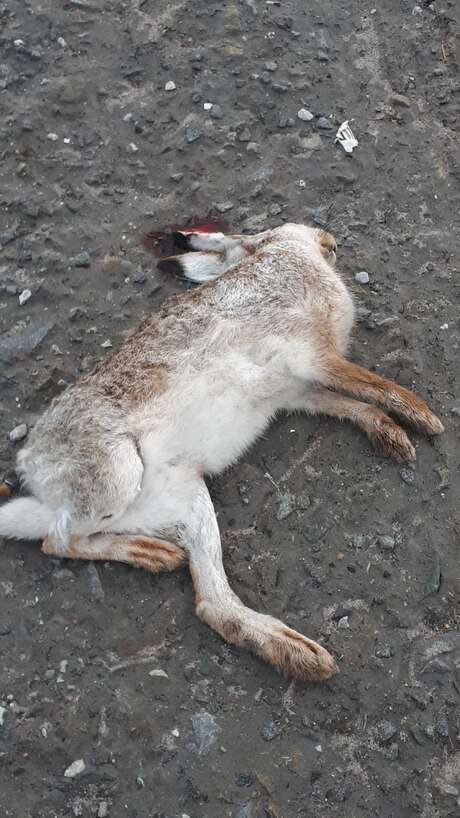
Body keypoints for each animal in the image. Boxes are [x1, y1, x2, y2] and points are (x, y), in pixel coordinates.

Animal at [0, 222, 444, 682]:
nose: (328, 239)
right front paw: (425, 416)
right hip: (116, 473)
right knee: (56, 539)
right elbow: (371, 383)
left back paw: (291, 650)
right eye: (274, 228)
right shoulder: (315, 356)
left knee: (212, 604)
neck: (274, 255)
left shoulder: (297, 390)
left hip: (187, 496)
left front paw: (391, 435)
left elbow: (347, 403)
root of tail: (33, 469)